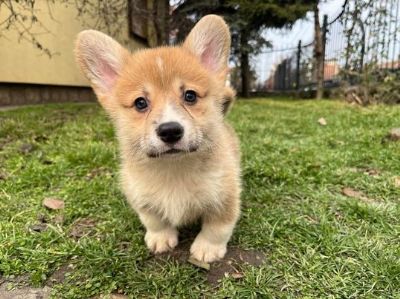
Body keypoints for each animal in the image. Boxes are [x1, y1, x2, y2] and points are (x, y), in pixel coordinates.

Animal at [76, 14, 241, 262]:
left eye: (190, 96)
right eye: (140, 103)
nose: (170, 130)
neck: (173, 169)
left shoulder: (225, 196)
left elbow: (217, 227)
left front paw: (207, 249)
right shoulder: (140, 197)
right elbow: (153, 220)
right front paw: (160, 238)